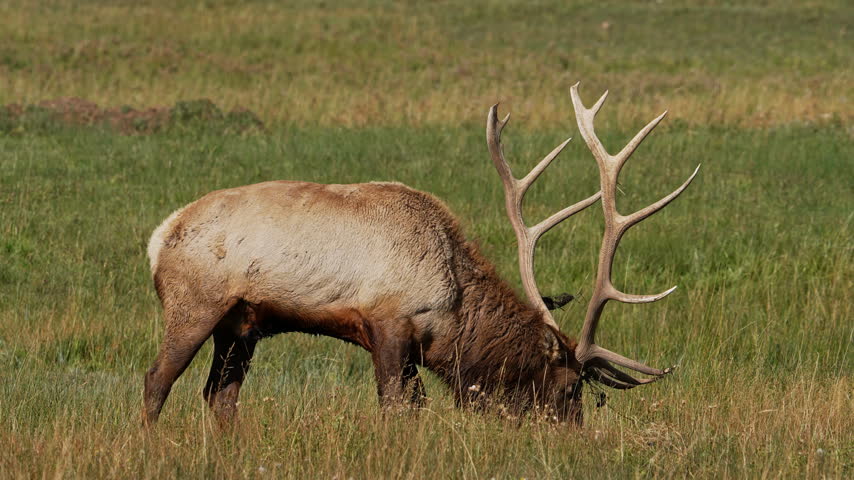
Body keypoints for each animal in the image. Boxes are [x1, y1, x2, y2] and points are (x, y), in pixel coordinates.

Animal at [142, 83, 699, 427]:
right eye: (568, 388)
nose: (573, 434)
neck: (453, 313)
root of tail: (159, 236)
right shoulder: (388, 323)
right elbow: (396, 408)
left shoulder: (409, 346)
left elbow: (413, 407)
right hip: (196, 305)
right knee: (156, 381)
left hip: (241, 326)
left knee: (220, 397)